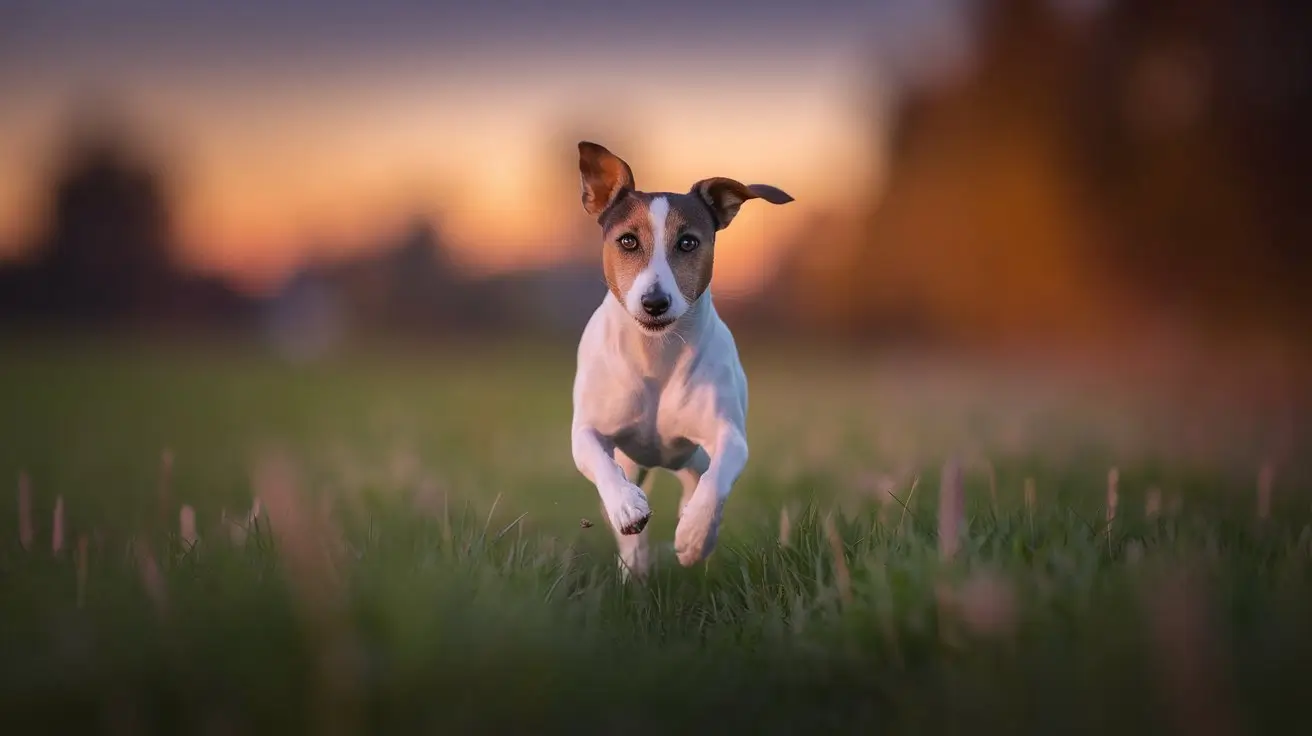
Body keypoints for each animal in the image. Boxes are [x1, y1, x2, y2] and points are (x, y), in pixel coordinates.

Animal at [572, 142, 792, 579]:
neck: (656, 355)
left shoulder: (728, 435)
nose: (655, 302)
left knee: (698, 482)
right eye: (627, 241)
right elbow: (599, 461)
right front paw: (627, 506)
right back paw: (636, 560)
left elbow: (717, 480)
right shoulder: (587, 429)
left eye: (688, 243)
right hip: (634, 461)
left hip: (693, 458)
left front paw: (693, 536)